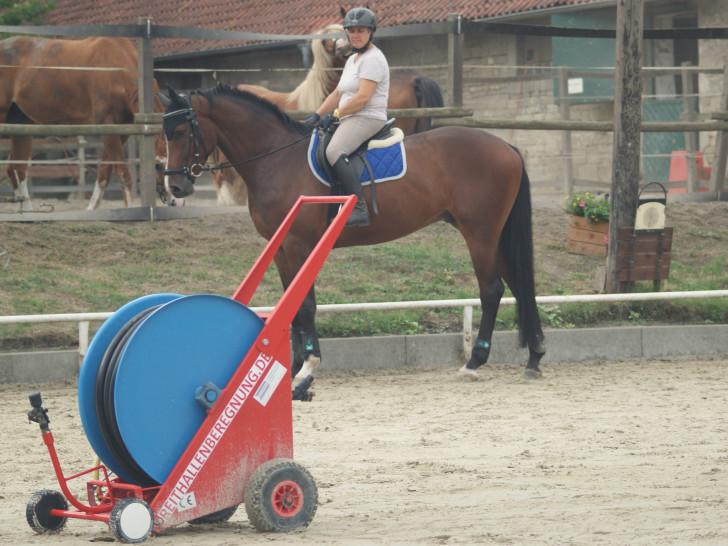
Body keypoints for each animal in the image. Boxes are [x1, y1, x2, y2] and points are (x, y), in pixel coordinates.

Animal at [0, 35, 165, 210]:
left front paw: (92, 208)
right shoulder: (108, 126)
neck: (113, 68)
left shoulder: (120, 132)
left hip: (22, 126)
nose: (171, 194)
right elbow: (123, 175)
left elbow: (104, 174)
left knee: (16, 169)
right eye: (157, 165)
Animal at [161, 86, 544, 382]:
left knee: (492, 289)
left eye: (180, 132)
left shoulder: (299, 245)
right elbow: (292, 304)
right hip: (495, 234)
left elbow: (306, 304)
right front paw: (294, 366)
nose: (174, 188)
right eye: (165, 133)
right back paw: (535, 357)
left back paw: (474, 362)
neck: (277, 159)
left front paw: (308, 365)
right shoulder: (282, 248)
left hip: (480, 232)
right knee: (519, 286)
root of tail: (506, 147)